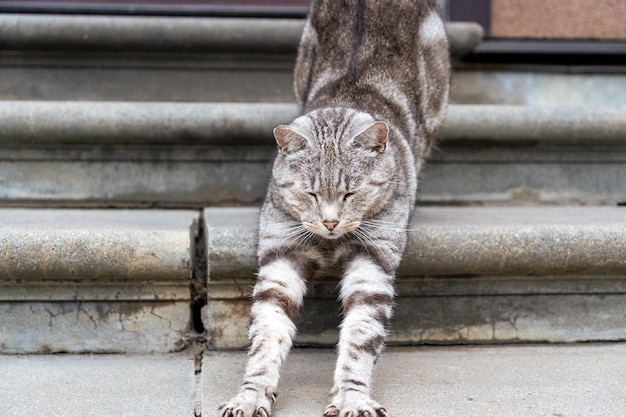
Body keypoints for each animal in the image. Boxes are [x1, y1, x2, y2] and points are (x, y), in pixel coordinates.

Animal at [217, 0, 446, 416]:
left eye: (350, 194)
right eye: (309, 193)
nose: (329, 222)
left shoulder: (373, 263)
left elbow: (360, 338)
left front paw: (352, 396)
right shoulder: (281, 257)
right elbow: (266, 334)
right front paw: (251, 394)